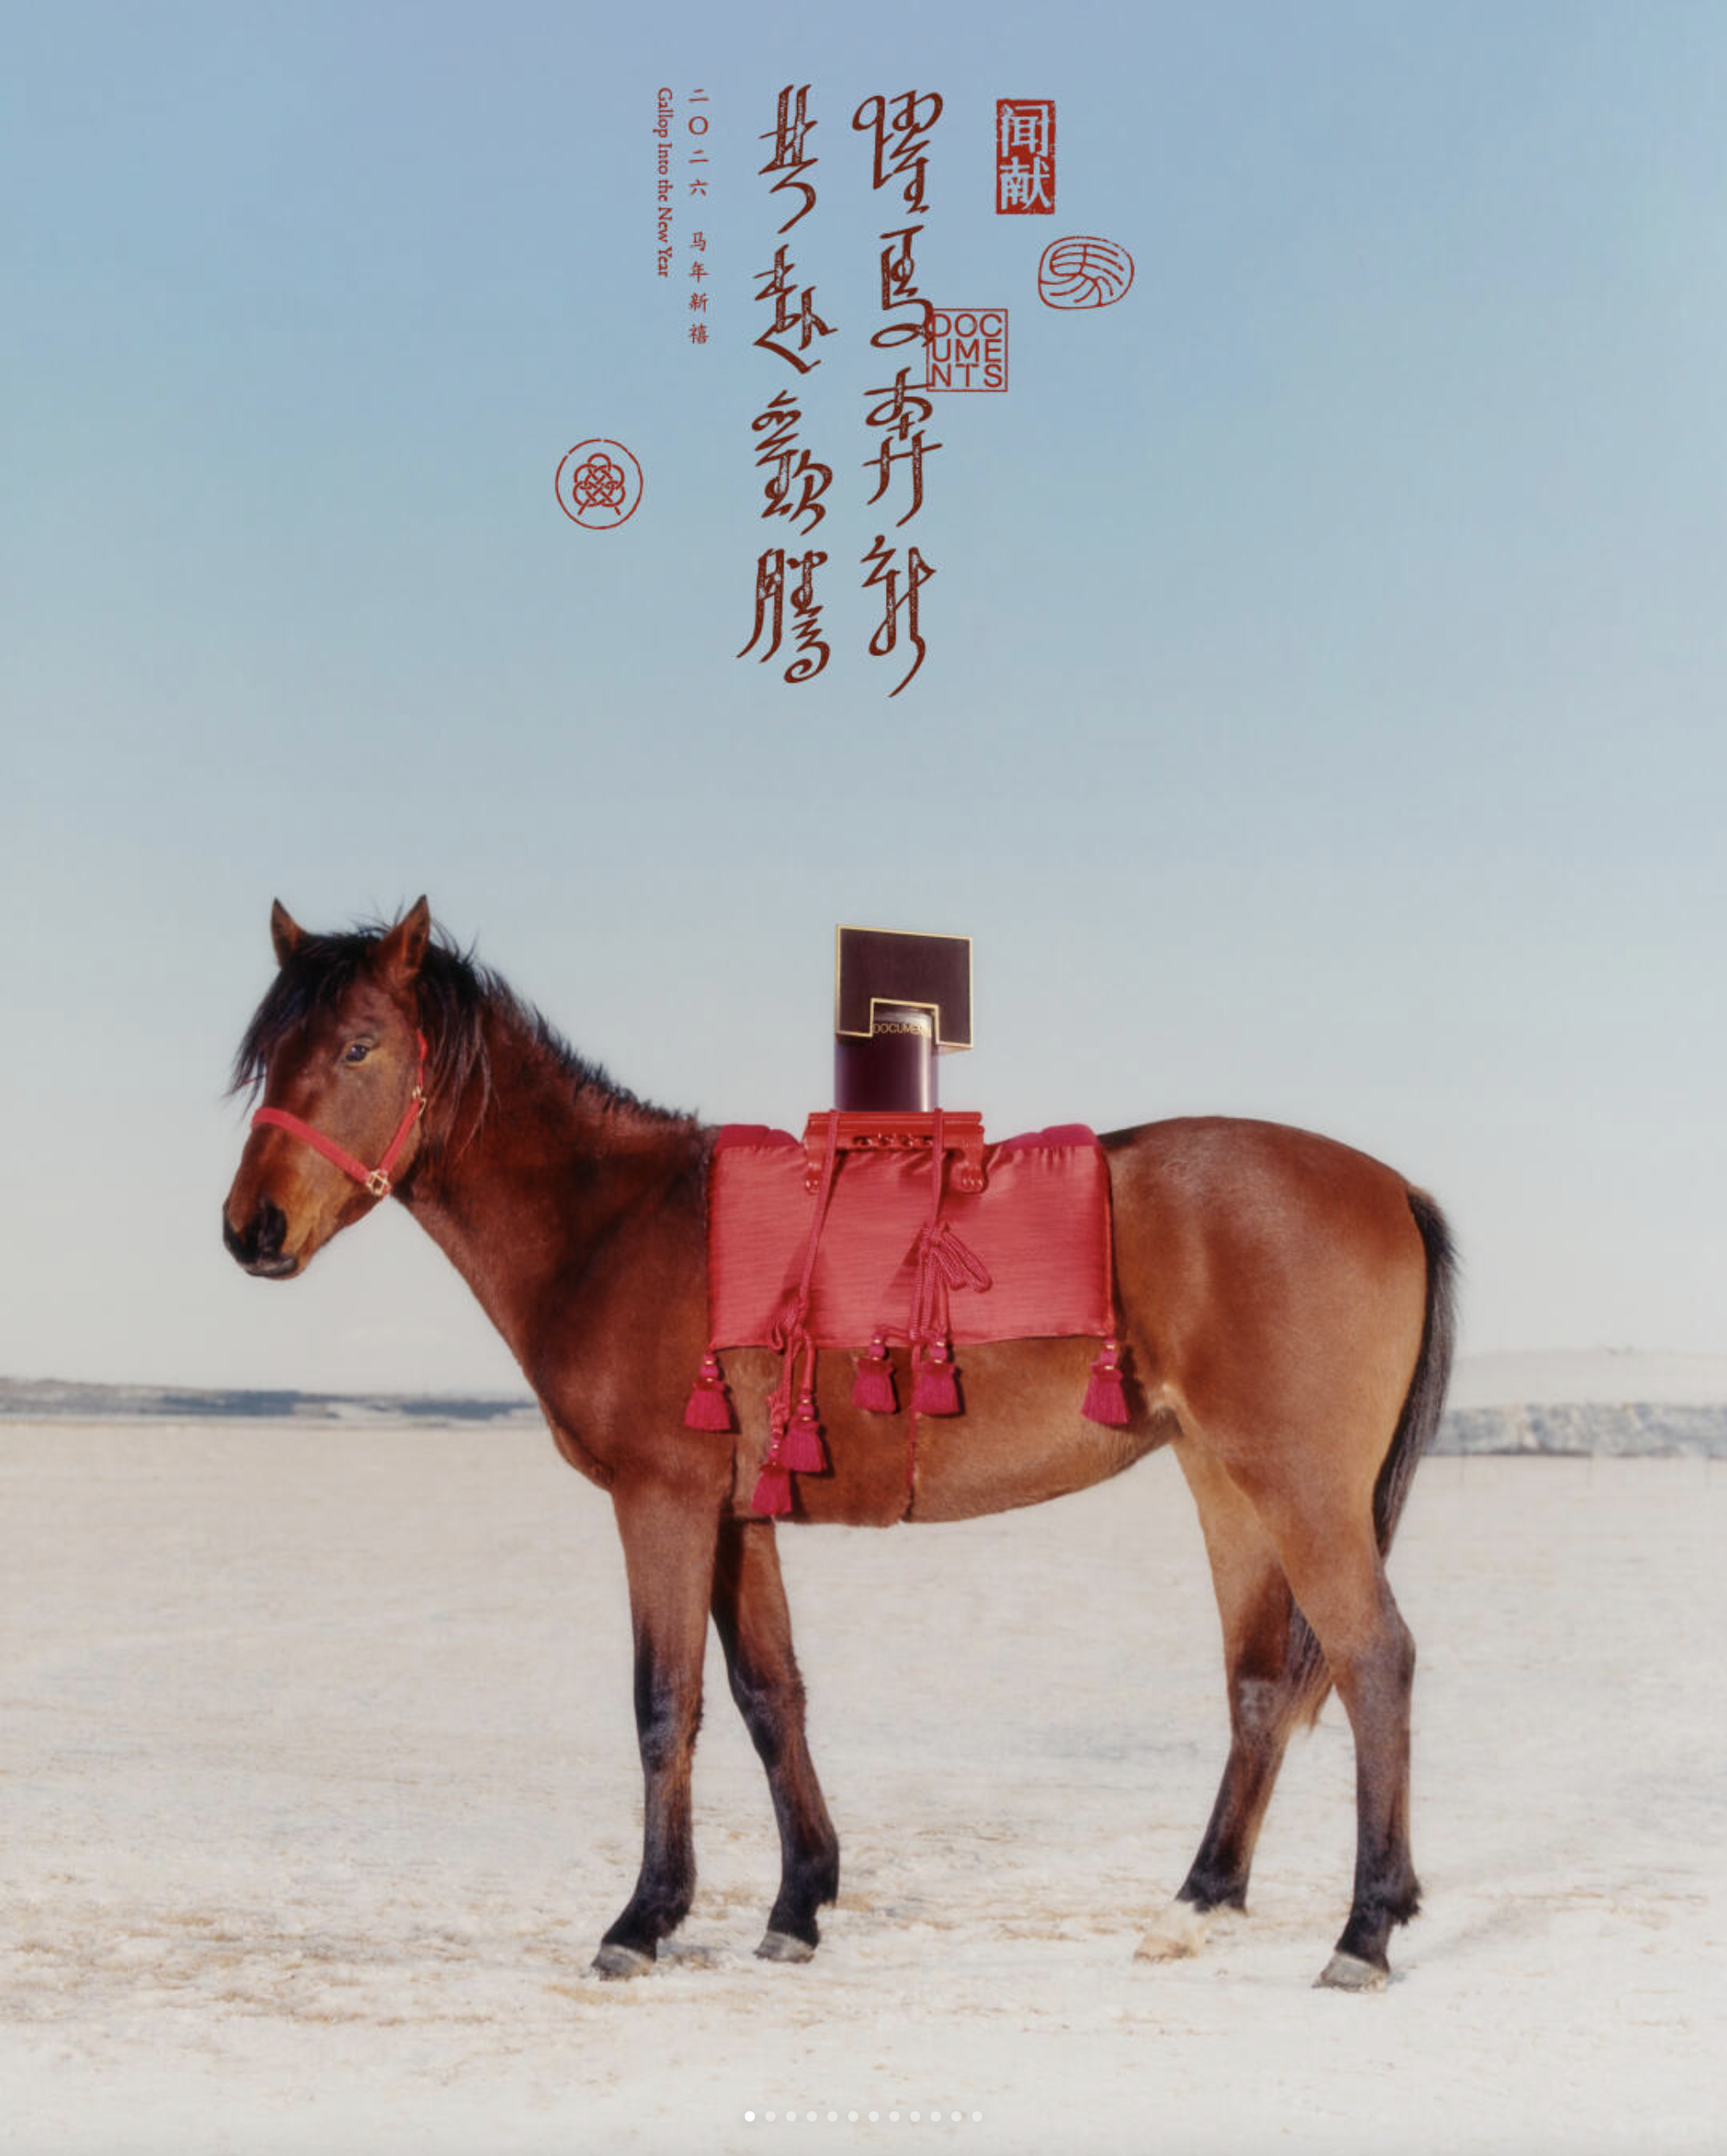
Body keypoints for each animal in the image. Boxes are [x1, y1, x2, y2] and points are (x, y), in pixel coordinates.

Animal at [222, 898, 1455, 1991]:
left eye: (358, 1044)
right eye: (266, 1056)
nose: (250, 1229)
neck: (614, 1224)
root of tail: (1390, 1182)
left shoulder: (662, 1501)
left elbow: (664, 1700)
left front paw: (642, 1918)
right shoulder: (737, 1514)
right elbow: (770, 1693)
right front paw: (795, 1905)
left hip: (1299, 1488)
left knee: (1373, 1659)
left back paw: (1363, 1928)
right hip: (1226, 1483)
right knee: (1259, 1680)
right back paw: (1195, 1906)